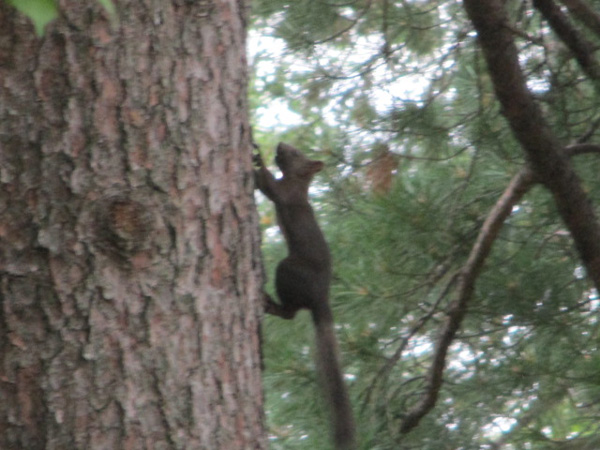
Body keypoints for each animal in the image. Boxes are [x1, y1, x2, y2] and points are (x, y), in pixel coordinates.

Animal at [254, 143, 356, 450]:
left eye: (297, 153)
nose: (280, 145)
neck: (299, 182)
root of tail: (322, 297)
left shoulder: (285, 192)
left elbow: (269, 187)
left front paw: (255, 156)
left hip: (288, 271)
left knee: (290, 311)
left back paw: (268, 302)